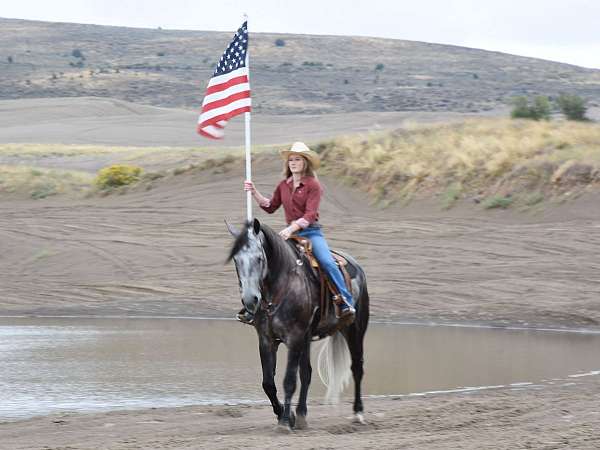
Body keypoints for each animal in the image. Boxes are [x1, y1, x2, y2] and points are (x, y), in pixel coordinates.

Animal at [226, 220, 370, 430]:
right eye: (236, 260)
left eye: (259, 258)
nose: (250, 300)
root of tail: (357, 267)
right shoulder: (267, 339)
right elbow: (268, 383)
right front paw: (286, 416)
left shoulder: (294, 339)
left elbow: (289, 381)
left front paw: (285, 421)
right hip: (308, 339)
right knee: (306, 372)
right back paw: (301, 414)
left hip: (355, 329)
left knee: (357, 367)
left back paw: (358, 413)